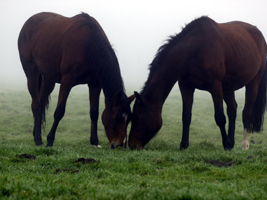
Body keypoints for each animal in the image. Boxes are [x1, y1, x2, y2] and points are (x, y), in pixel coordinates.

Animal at [17, 11, 134, 148]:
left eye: (129, 119)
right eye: (116, 118)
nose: (120, 144)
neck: (89, 46)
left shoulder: (95, 84)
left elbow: (94, 112)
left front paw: (95, 141)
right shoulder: (66, 82)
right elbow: (59, 112)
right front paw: (50, 140)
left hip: (48, 80)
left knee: (41, 104)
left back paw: (37, 134)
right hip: (32, 73)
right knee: (35, 104)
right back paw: (38, 140)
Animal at [129, 16, 266, 150]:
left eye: (138, 116)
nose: (131, 145)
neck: (194, 50)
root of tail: (259, 35)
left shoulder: (216, 87)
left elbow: (220, 117)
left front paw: (226, 144)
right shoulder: (186, 86)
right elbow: (186, 116)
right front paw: (184, 145)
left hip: (253, 82)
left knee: (246, 112)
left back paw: (244, 144)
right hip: (228, 86)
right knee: (232, 109)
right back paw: (232, 142)